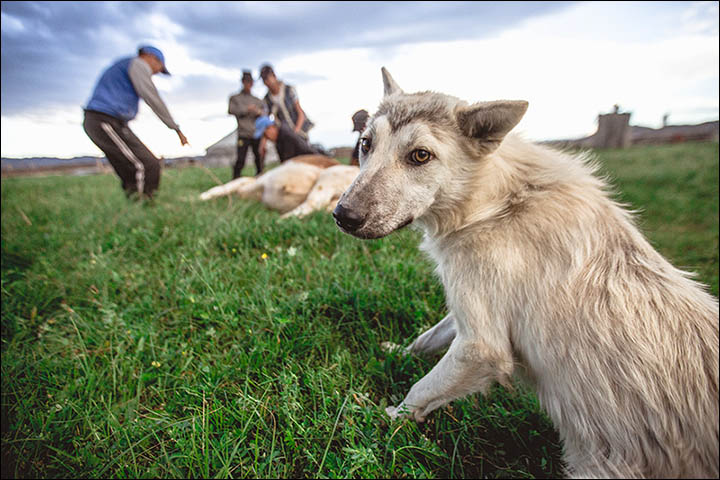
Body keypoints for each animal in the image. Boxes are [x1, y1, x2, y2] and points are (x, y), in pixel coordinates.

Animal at [198, 155, 358, 218]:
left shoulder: (259, 181)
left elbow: (227, 186)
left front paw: (201, 197)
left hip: (328, 176)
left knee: (312, 203)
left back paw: (279, 220)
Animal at [334, 67, 720, 480]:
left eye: (420, 155)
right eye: (366, 144)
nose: (342, 216)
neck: (496, 206)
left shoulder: (481, 348)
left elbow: (417, 392)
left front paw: (374, 421)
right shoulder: (472, 308)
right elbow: (426, 338)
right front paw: (397, 353)